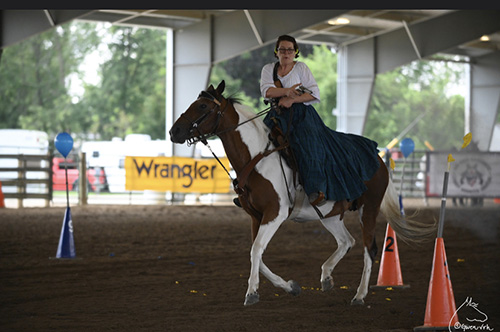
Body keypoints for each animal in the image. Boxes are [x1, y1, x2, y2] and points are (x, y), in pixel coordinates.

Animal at [169, 81, 434, 306]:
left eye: (203, 106)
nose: (174, 131)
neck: (256, 159)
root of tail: (378, 158)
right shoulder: (256, 216)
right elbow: (257, 254)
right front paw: (290, 286)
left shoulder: (275, 214)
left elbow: (256, 250)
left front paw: (252, 293)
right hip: (329, 214)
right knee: (346, 241)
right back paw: (326, 277)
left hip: (368, 209)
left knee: (370, 248)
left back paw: (359, 295)